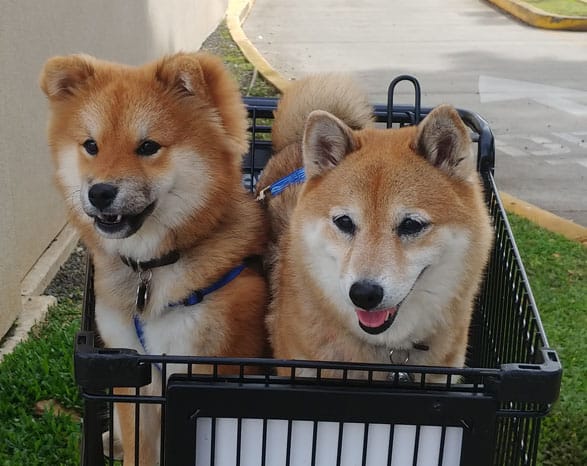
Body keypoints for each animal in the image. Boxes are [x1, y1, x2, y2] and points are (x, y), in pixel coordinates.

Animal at [41, 52, 268, 466]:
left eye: (148, 147)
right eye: (91, 145)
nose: (99, 192)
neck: (150, 270)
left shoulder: (205, 363)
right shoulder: (133, 373)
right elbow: (139, 450)